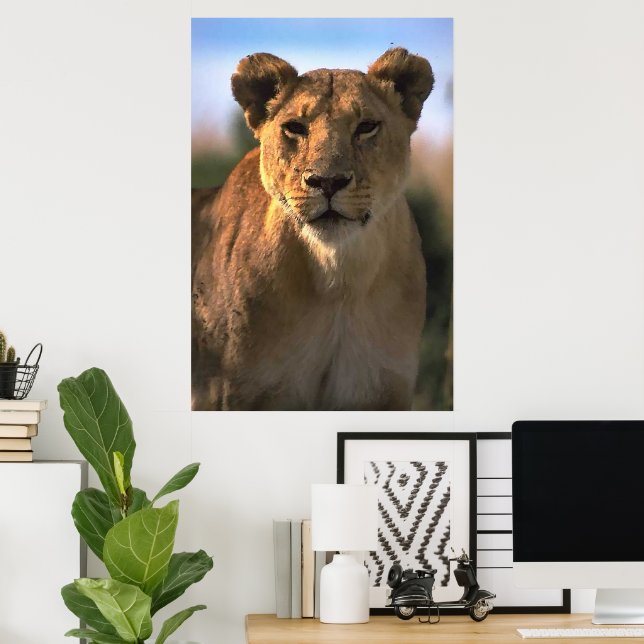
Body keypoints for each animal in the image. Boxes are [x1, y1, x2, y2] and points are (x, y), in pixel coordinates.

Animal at [192, 48, 434, 410]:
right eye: (295, 127)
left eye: (366, 127)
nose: (327, 181)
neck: (339, 279)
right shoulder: (238, 393)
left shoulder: (385, 390)